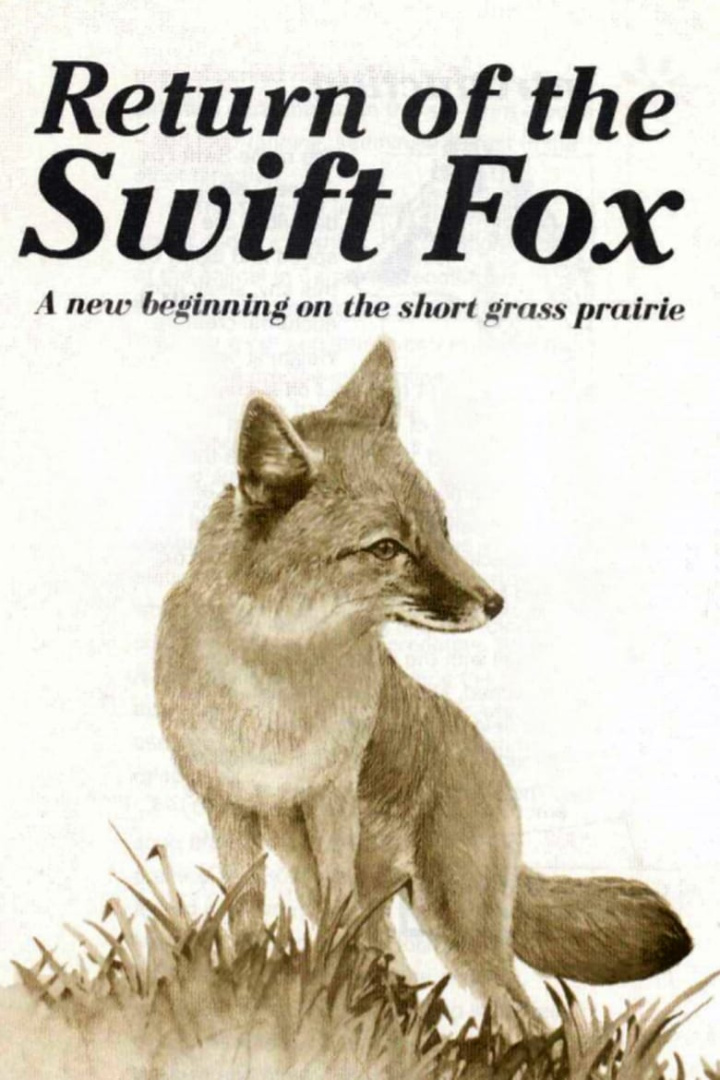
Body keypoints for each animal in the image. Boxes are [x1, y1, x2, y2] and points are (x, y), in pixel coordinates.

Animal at [155, 339, 692, 1035]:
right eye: (387, 548)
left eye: (443, 528)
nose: (495, 602)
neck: (272, 688)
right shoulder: (226, 805)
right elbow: (244, 910)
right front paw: (248, 982)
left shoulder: (331, 797)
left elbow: (331, 915)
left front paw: (315, 979)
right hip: (336, 877)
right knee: (403, 970)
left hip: (454, 920)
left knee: (524, 1015)